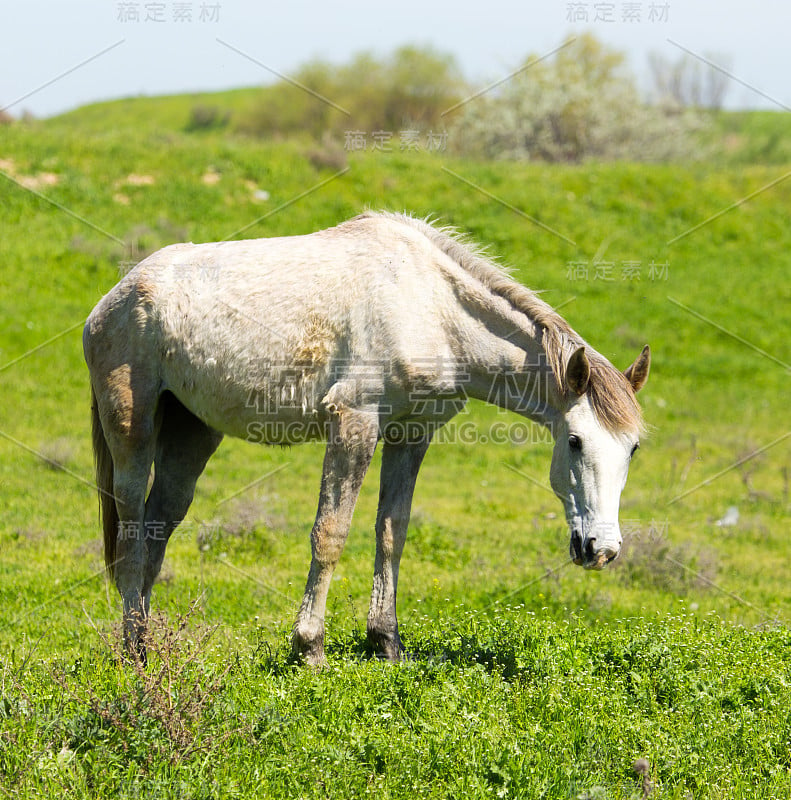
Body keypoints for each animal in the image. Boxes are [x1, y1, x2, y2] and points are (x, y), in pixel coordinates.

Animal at [83, 211, 648, 664]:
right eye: (574, 441)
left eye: (633, 449)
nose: (601, 549)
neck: (431, 305)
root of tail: (113, 299)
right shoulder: (354, 423)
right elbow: (330, 533)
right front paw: (309, 647)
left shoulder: (412, 433)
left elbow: (392, 533)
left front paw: (386, 643)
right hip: (132, 428)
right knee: (131, 524)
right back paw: (133, 652)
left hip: (193, 433)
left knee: (159, 523)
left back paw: (148, 643)